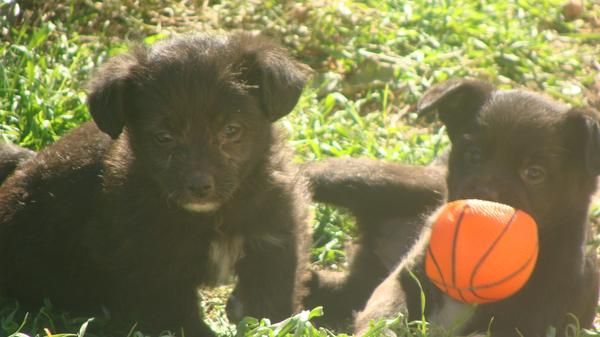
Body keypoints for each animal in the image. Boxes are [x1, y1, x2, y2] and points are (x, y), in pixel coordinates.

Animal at [0, 32, 312, 336]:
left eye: (231, 130)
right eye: (163, 137)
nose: (199, 187)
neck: (213, 215)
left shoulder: (274, 239)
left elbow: (269, 306)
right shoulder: (152, 266)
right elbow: (178, 320)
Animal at [354, 77, 596, 334]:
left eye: (534, 173)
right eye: (474, 155)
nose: (483, 201)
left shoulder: (524, 323)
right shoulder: (405, 277)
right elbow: (387, 311)